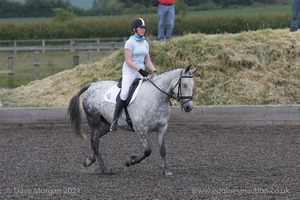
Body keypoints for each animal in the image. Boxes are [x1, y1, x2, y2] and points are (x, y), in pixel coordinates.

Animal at [69, 66, 198, 175]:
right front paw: (130, 161)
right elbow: (147, 151)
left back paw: (89, 160)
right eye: (184, 85)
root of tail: (92, 85)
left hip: (106, 124)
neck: (157, 97)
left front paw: (166, 171)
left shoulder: (162, 128)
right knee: (95, 141)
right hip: (94, 120)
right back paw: (105, 170)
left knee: (95, 139)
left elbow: (163, 150)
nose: (189, 107)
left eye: (192, 85)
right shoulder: (140, 129)